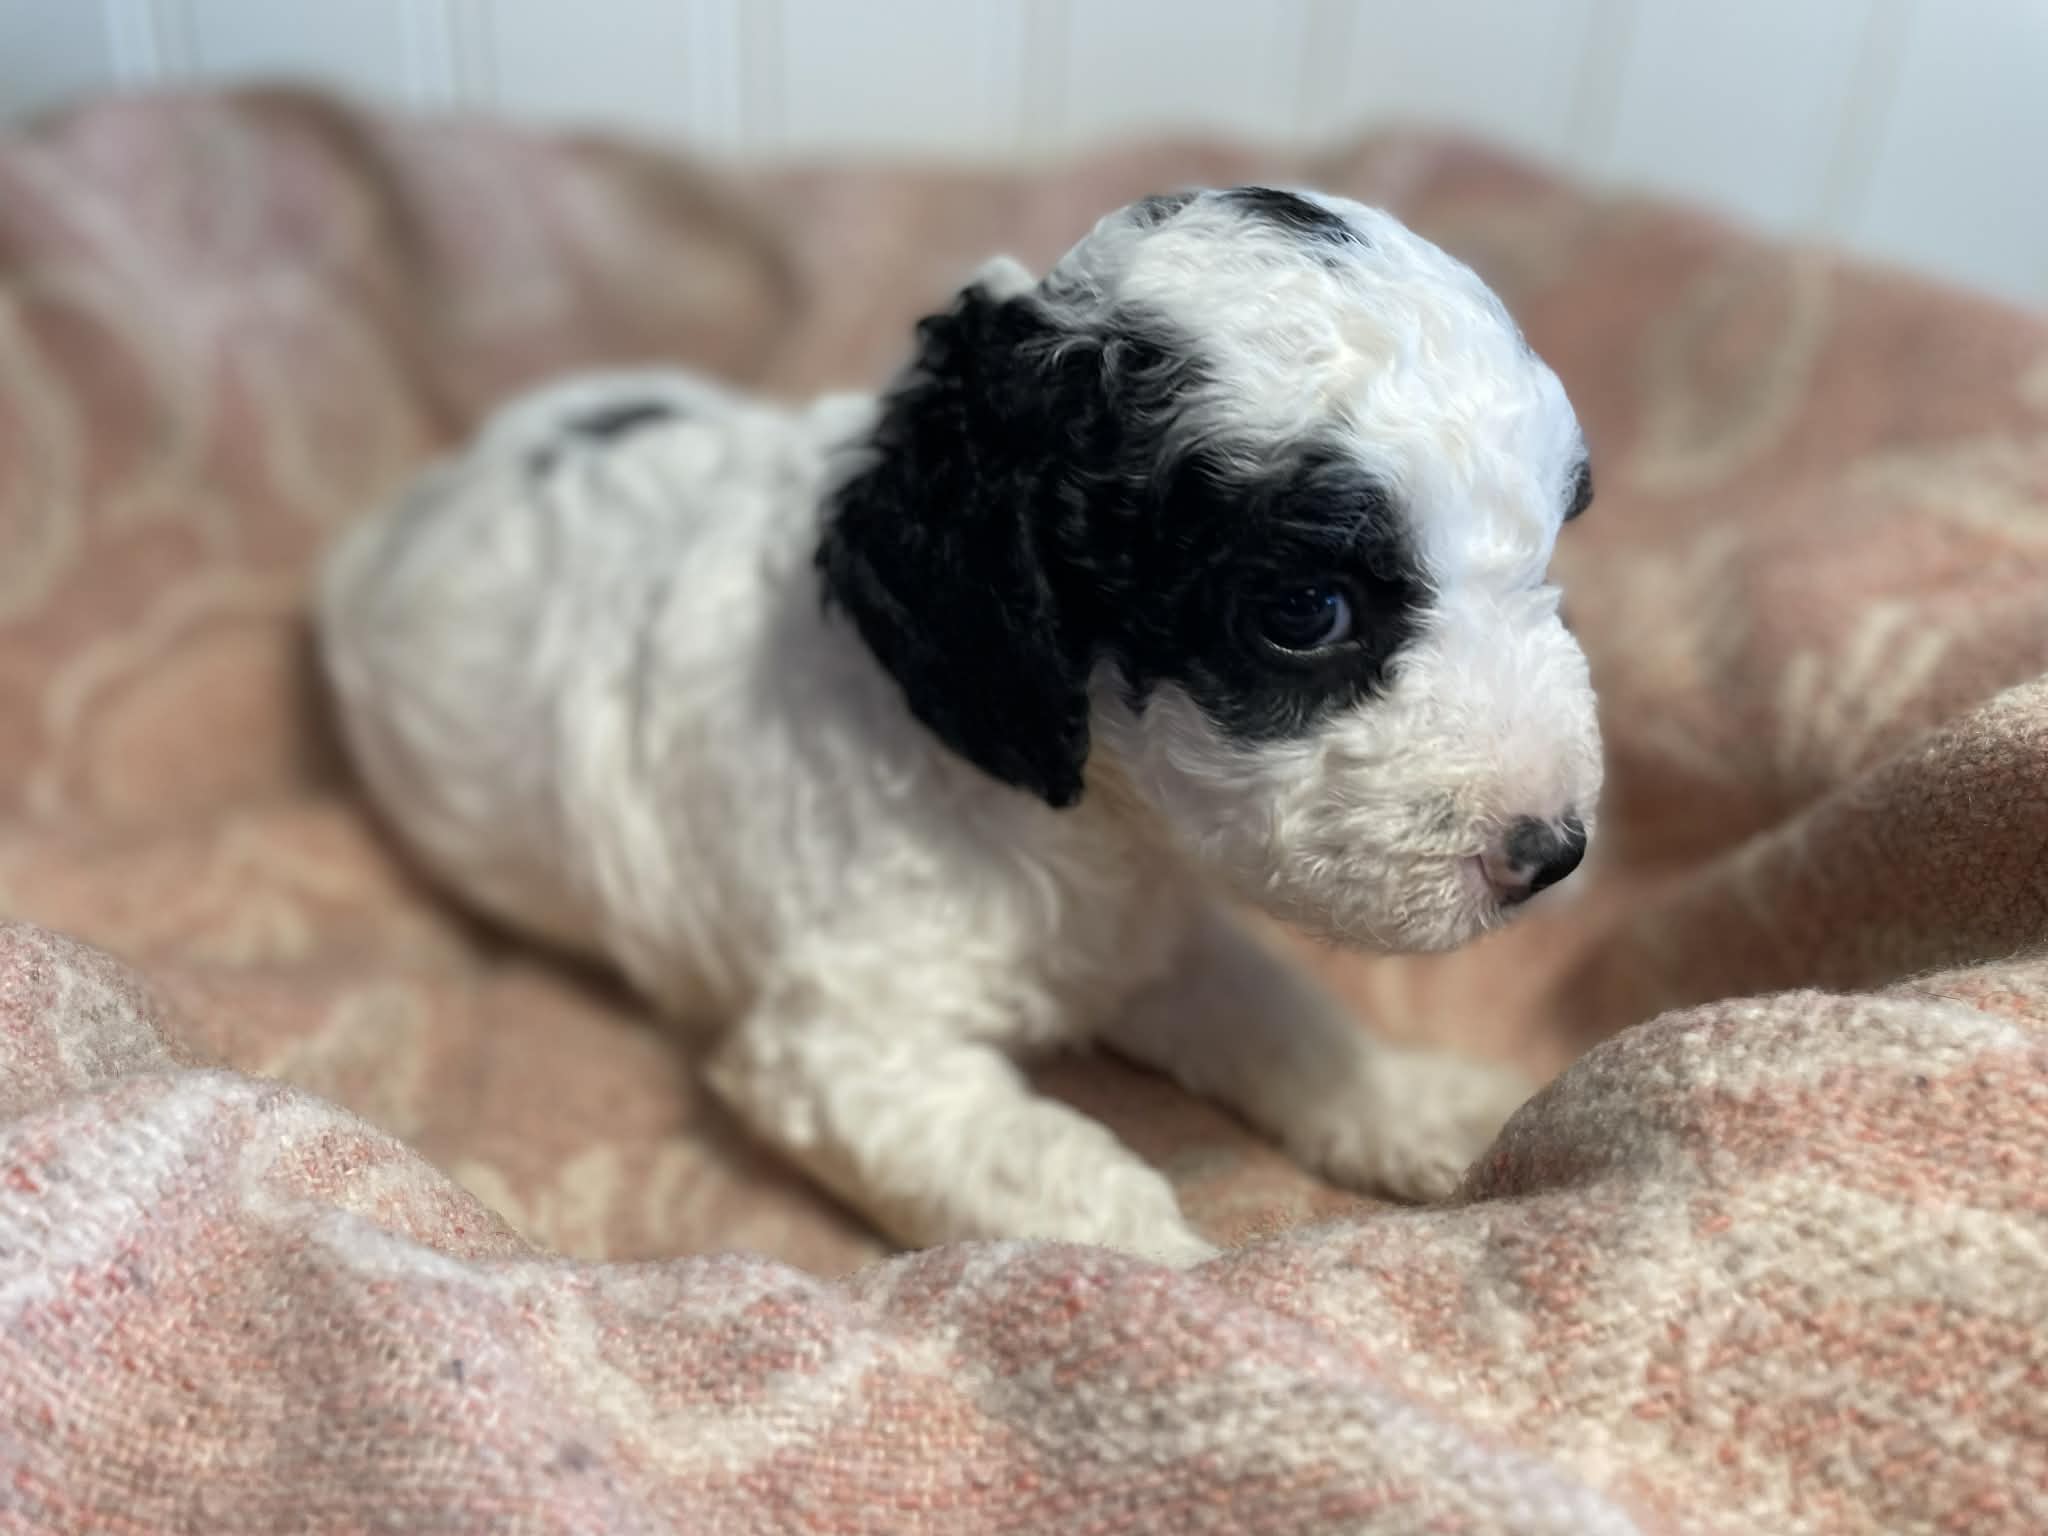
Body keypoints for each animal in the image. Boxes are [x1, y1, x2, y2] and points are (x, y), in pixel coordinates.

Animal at [318, 186, 1601, 1264]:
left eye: (1546, 551)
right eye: (1305, 609)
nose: (1551, 854)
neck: (1073, 807)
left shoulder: (1155, 938)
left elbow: (1279, 1012)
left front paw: (1413, 1101)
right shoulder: (848, 1047)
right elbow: (1054, 1173)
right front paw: (1182, 1283)